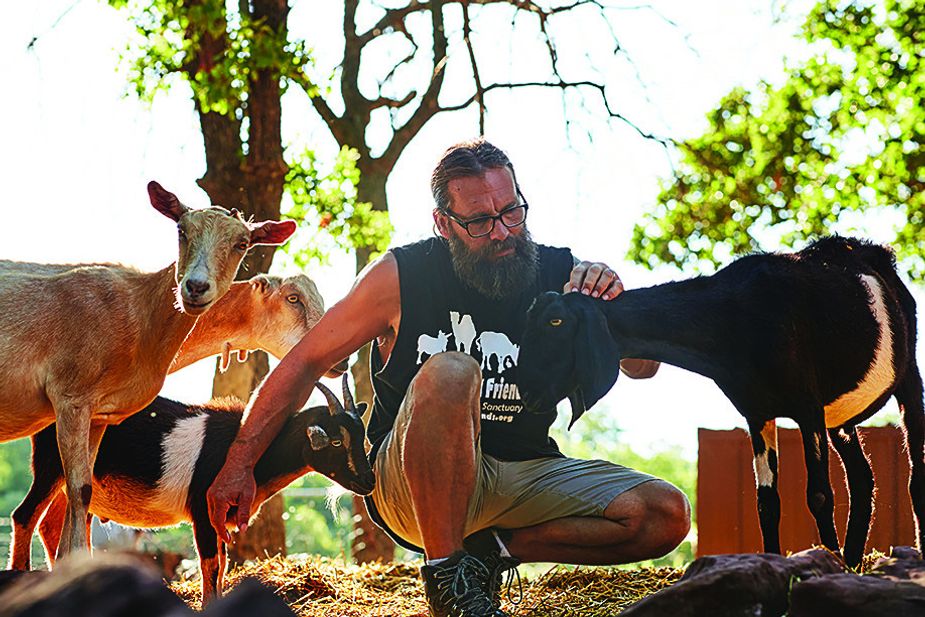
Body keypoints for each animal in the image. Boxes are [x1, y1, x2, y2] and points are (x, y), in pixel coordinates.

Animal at [9, 376, 374, 600]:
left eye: (363, 439)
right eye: (337, 441)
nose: (368, 483)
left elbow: (223, 563)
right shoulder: (203, 509)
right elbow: (210, 563)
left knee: (52, 525)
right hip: (52, 464)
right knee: (25, 515)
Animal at [516, 236, 920, 568]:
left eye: (556, 321)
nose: (528, 391)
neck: (734, 319)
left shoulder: (807, 408)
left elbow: (819, 493)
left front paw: (826, 564)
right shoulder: (757, 412)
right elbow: (766, 502)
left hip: (908, 378)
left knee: (914, 472)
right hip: (840, 419)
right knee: (863, 478)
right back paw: (853, 562)